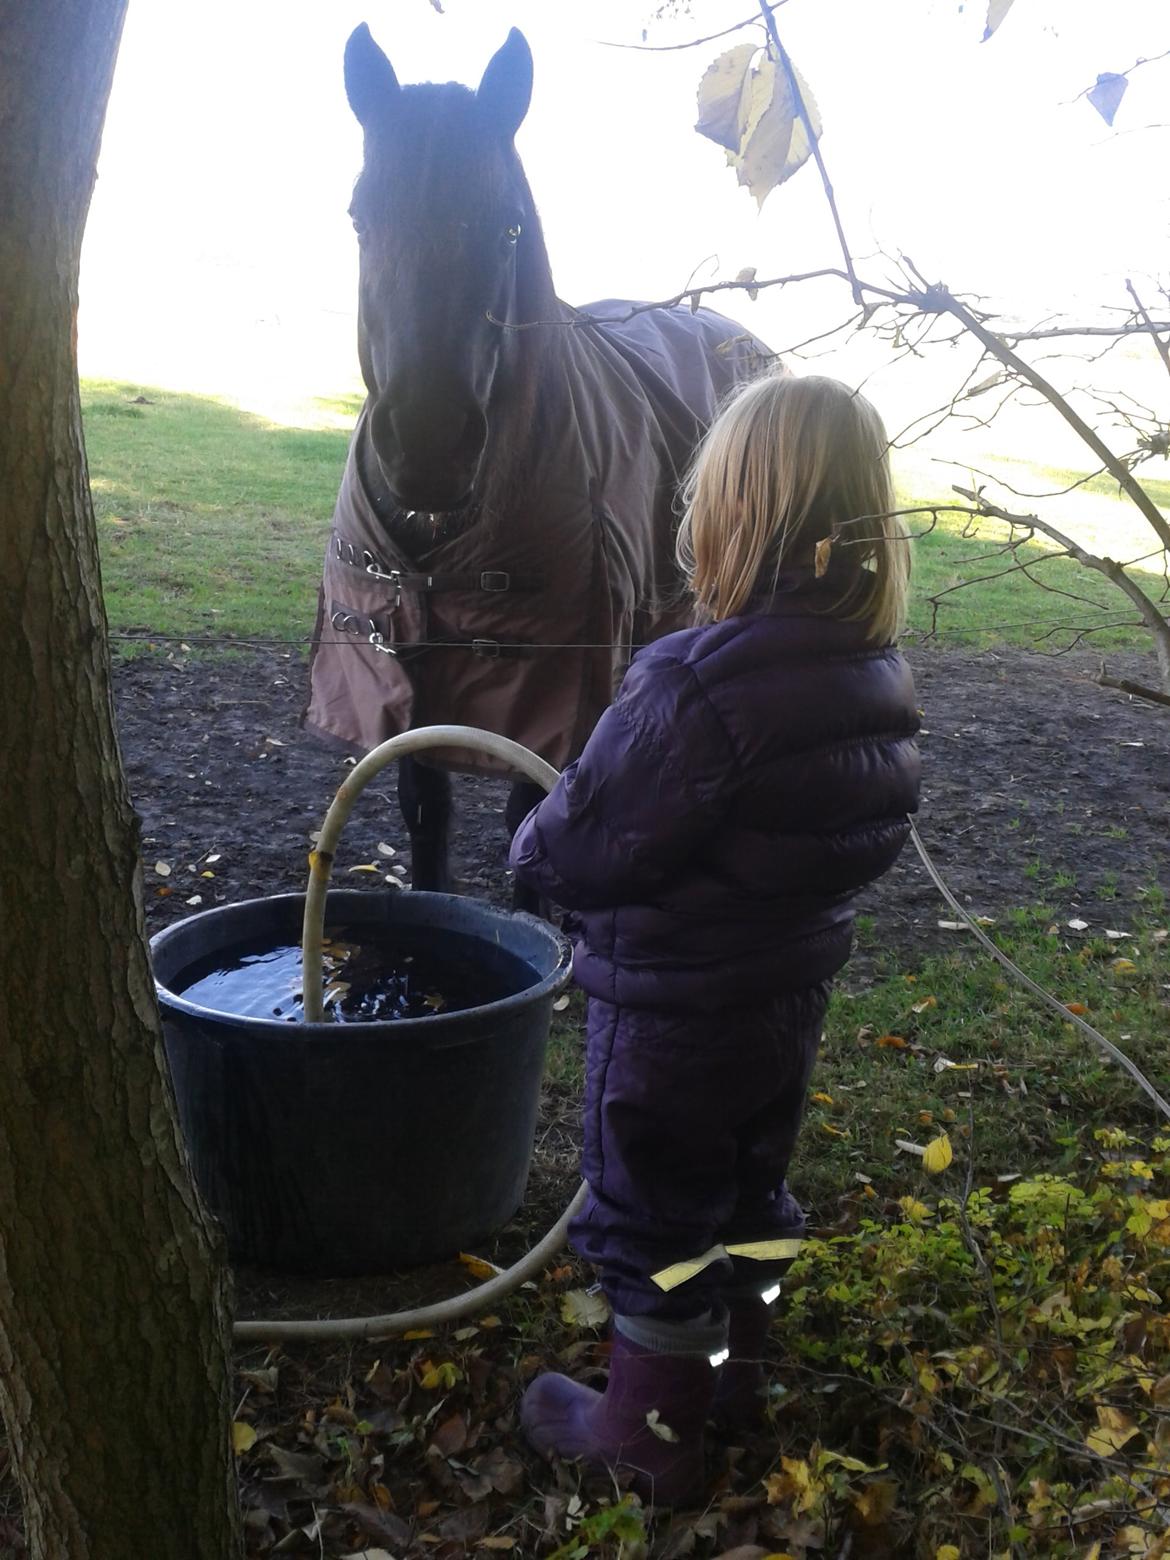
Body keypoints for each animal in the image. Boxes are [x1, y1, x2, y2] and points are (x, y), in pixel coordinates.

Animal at [307, 24, 773, 898]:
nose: (426, 446)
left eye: (510, 227)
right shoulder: (412, 671)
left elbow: (530, 819)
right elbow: (426, 811)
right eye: (358, 217)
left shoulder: (546, 686)